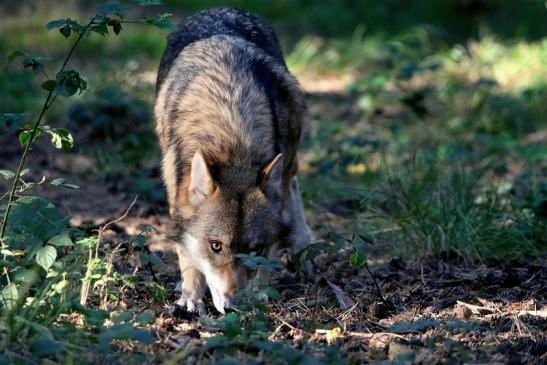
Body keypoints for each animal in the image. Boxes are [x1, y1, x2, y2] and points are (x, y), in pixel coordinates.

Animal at [154, 7, 312, 314]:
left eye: (255, 249)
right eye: (216, 246)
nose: (234, 306)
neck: (232, 141)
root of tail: (222, 9)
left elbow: (271, 252)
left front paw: (261, 291)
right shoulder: (177, 194)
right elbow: (186, 252)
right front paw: (191, 296)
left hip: (291, 156)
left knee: (292, 190)